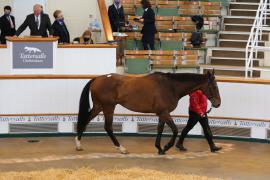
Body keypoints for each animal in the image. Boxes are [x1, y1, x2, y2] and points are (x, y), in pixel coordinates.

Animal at [75, 70, 220, 155]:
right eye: (214, 86)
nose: (218, 103)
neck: (170, 86)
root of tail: (97, 79)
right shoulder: (164, 112)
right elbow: (174, 130)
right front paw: (167, 146)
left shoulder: (162, 113)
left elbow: (160, 129)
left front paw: (160, 149)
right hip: (108, 107)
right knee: (108, 127)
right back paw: (121, 148)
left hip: (99, 107)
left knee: (86, 120)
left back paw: (78, 144)